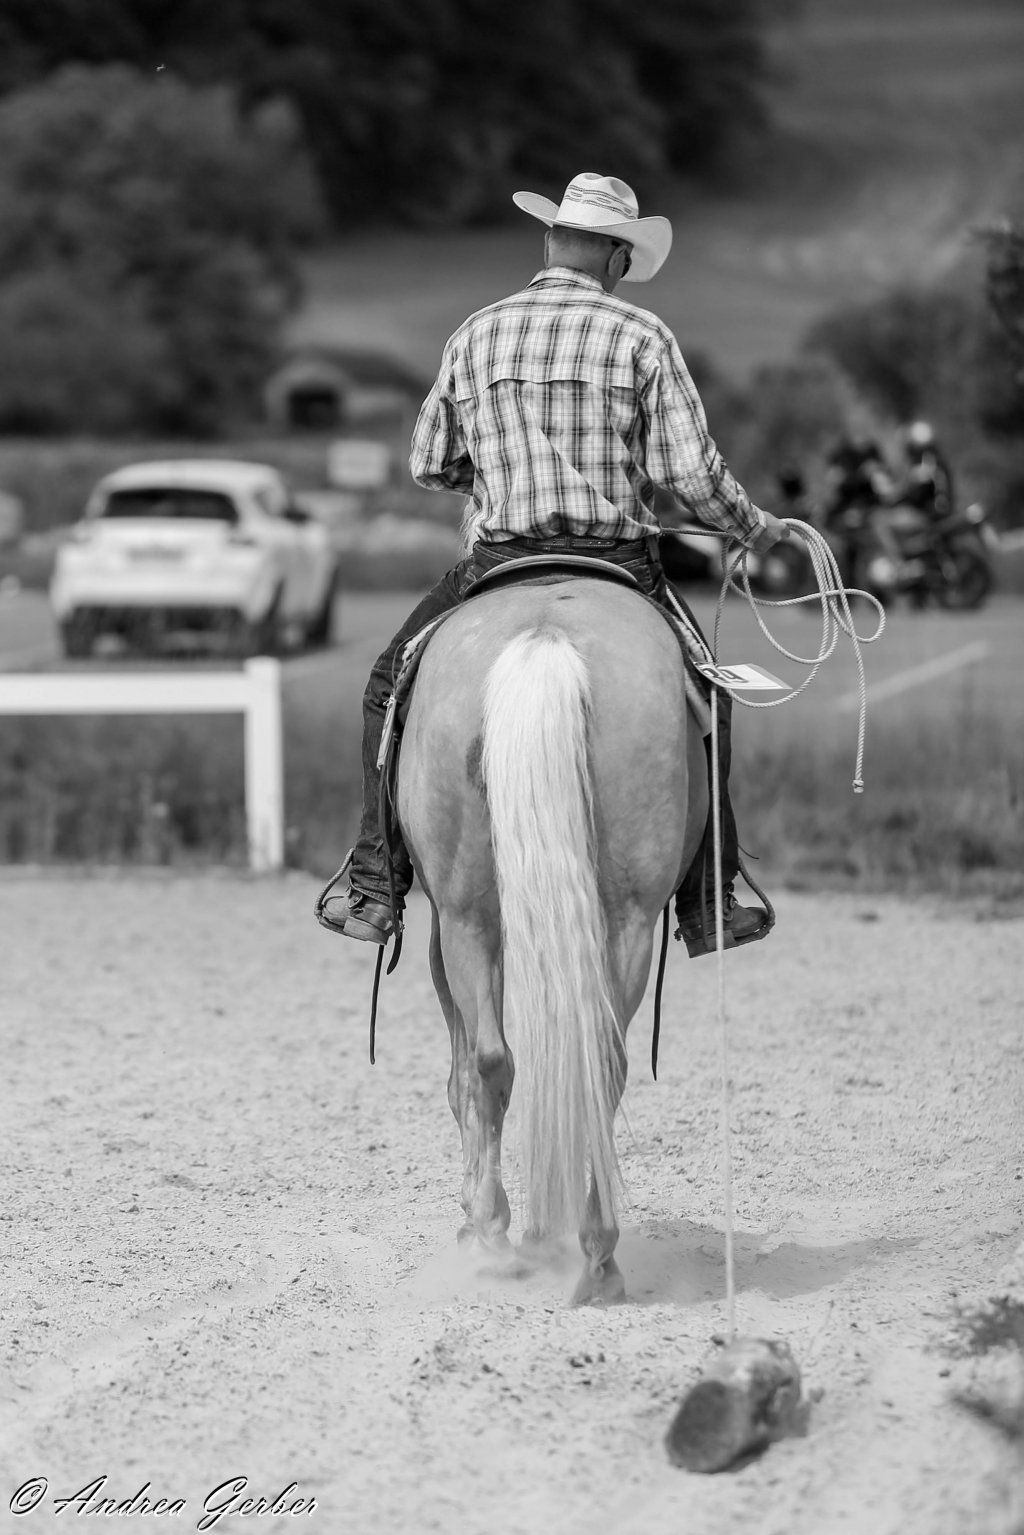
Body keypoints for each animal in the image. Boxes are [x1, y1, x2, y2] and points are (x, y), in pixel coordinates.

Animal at [396, 576, 708, 1305]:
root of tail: (546, 634)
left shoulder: (440, 932)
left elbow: (459, 1074)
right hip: (622, 917)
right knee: (590, 1060)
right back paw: (589, 1257)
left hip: (465, 916)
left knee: (488, 1060)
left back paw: (497, 1239)